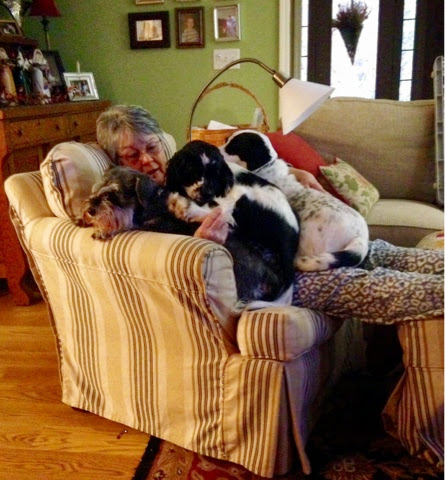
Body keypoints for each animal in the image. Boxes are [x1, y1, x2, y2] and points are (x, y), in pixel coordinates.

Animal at [166, 140, 300, 304]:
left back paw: (183, 206)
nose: (207, 193)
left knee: (226, 216)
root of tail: (291, 236)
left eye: (215, 174)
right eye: (191, 171)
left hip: (248, 198)